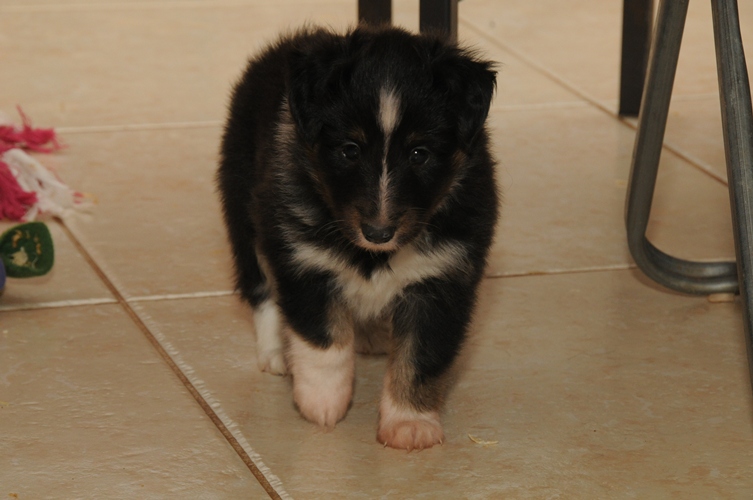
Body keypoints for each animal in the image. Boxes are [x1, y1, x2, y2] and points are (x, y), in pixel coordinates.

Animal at [217, 25, 500, 452]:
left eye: (420, 153)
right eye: (349, 150)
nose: (378, 232)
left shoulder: (443, 277)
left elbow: (421, 355)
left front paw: (409, 423)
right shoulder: (303, 258)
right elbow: (323, 340)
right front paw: (321, 402)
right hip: (244, 205)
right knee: (261, 286)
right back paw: (276, 352)